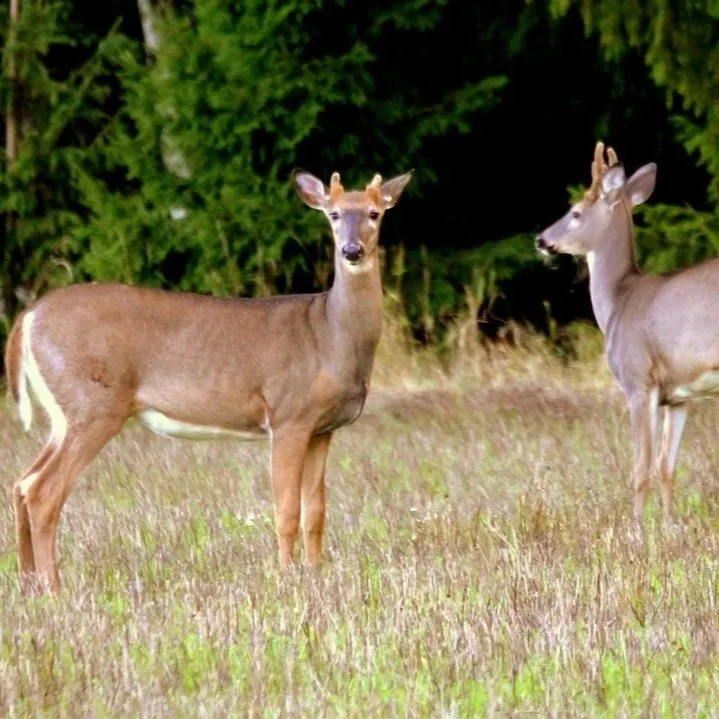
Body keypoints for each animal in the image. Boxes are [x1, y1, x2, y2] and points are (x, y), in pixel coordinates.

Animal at [4, 169, 412, 594]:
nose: (352, 250)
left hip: (65, 413)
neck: (330, 335)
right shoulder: (289, 415)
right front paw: (287, 577)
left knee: (21, 484)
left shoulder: (322, 429)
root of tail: (27, 318)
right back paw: (53, 587)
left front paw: (317, 575)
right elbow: (286, 510)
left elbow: (316, 512)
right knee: (43, 491)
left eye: (374, 213)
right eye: (333, 214)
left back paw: (27, 583)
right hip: (92, 403)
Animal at [536, 141, 719, 531]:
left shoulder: (638, 381)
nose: (541, 240)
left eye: (575, 212)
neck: (618, 301)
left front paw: (636, 530)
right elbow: (667, 467)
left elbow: (641, 469)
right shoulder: (679, 396)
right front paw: (669, 526)